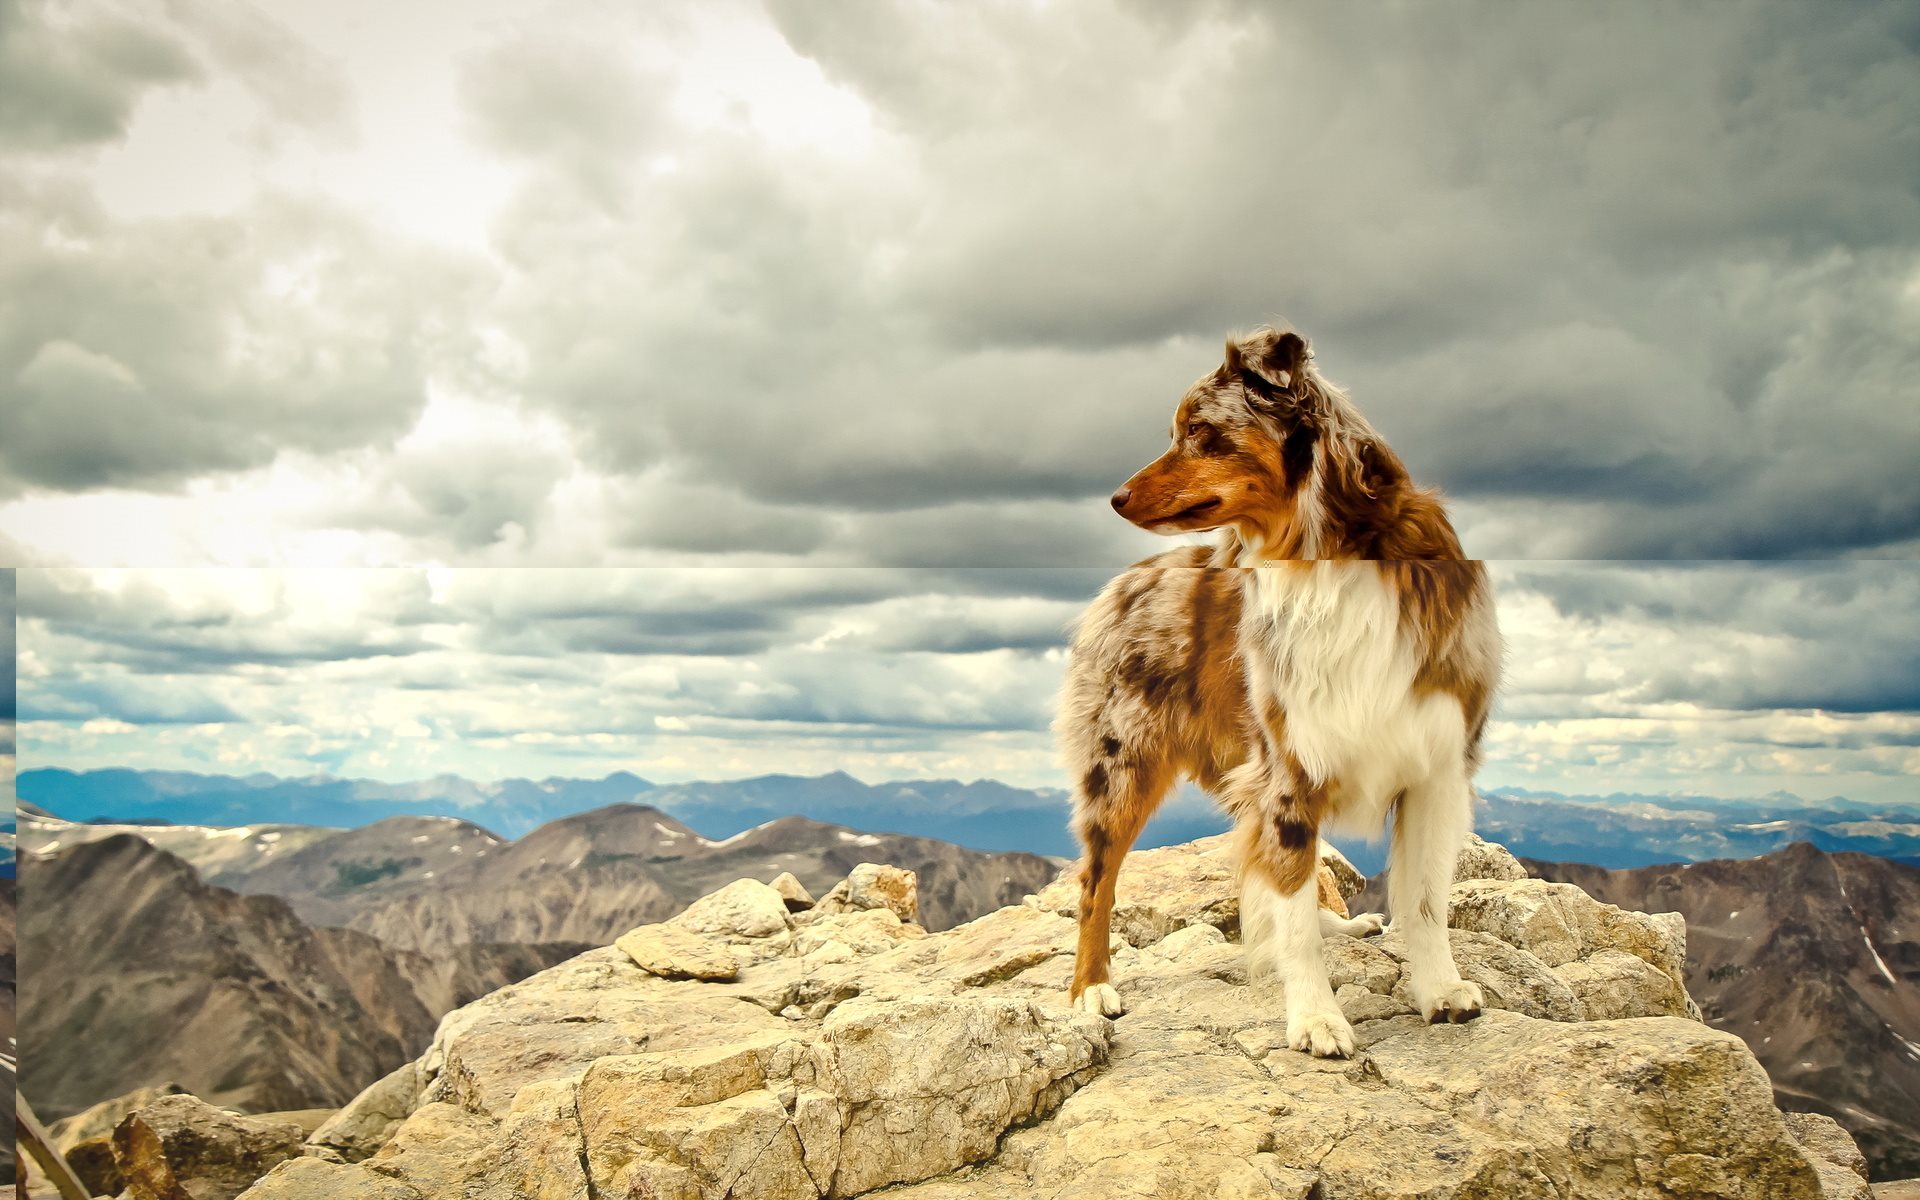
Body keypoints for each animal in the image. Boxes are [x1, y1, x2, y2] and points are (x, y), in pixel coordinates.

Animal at [1067, 322, 1497, 1052]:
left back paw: (1341, 923)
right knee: (1098, 882)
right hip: (1122, 766)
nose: (1115, 498)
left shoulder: (1435, 766)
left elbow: (1423, 900)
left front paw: (1440, 991)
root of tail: (1126, 580)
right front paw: (1317, 1018)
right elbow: (1292, 914)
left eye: (1198, 430)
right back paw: (1090, 989)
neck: (1327, 555)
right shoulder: (1288, 767)